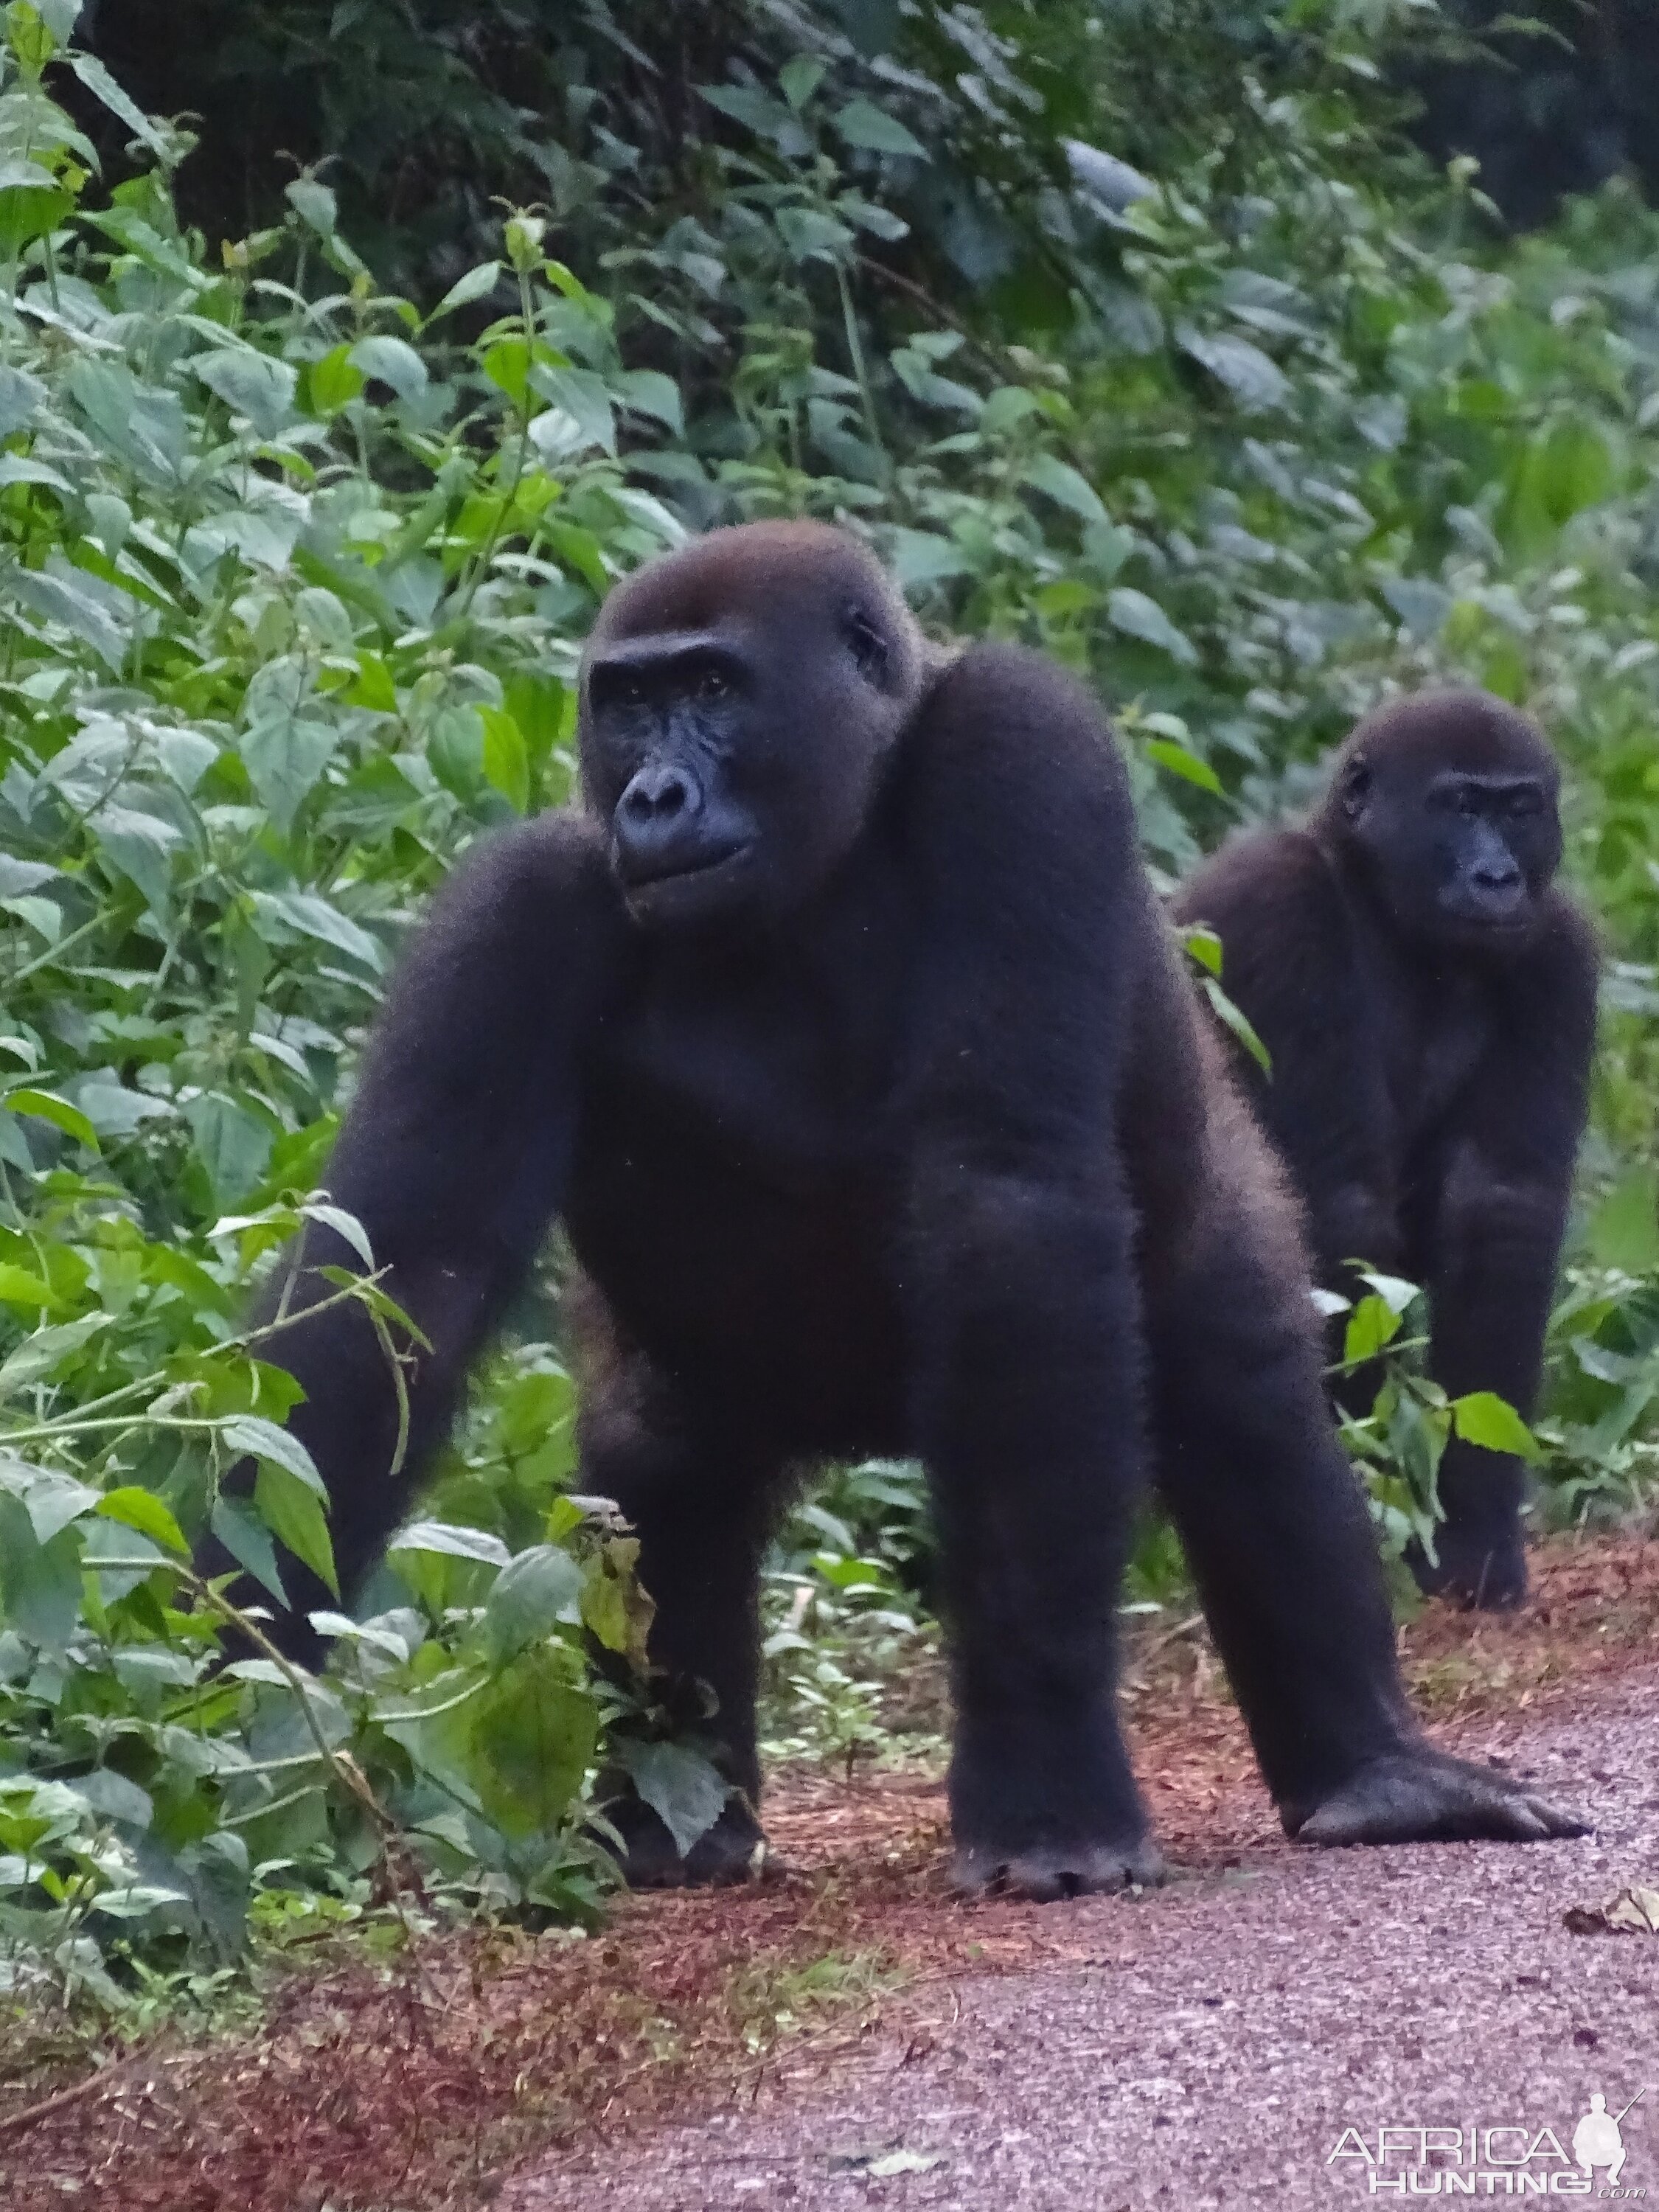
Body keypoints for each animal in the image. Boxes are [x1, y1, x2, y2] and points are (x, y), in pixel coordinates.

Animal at [1177, 690, 1601, 1610]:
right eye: (1459, 807)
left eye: (1519, 811)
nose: (1497, 878)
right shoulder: (1280, 905)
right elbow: (1343, 1213)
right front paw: (1366, 1512)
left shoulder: (1559, 949)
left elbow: (1500, 1212)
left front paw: (1475, 1533)